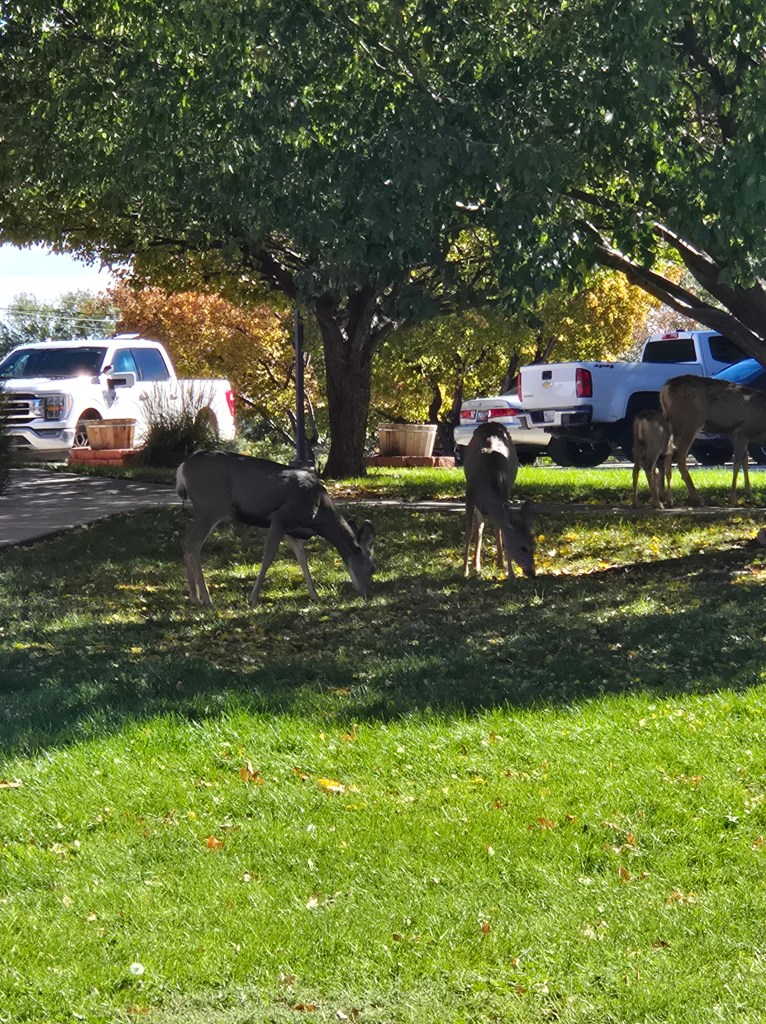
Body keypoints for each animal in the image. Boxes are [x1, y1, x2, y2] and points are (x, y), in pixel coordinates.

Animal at [176, 451, 375, 606]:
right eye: (373, 568)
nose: (367, 593)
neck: (319, 513)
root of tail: (181, 468)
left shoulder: (291, 530)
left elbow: (302, 559)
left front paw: (315, 595)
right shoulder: (280, 517)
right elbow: (268, 556)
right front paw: (253, 598)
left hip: (201, 510)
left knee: (185, 541)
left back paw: (194, 597)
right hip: (212, 507)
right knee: (193, 544)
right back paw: (206, 599)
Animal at [462, 421, 536, 578]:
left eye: (534, 546)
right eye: (523, 548)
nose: (532, 573)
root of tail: (491, 423)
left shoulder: (505, 493)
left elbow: (503, 533)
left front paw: (510, 573)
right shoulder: (469, 494)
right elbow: (469, 531)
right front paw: (464, 570)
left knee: (491, 527)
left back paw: (498, 563)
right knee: (479, 527)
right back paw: (475, 565)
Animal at [660, 374, 766, 505]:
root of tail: (665, 389)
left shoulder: (736, 435)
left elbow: (745, 462)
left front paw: (750, 496)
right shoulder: (742, 431)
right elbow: (737, 464)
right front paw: (733, 498)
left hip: (675, 424)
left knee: (667, 457)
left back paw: (669, 498)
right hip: (689, 422)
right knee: (680, 457)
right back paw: (696, 497)